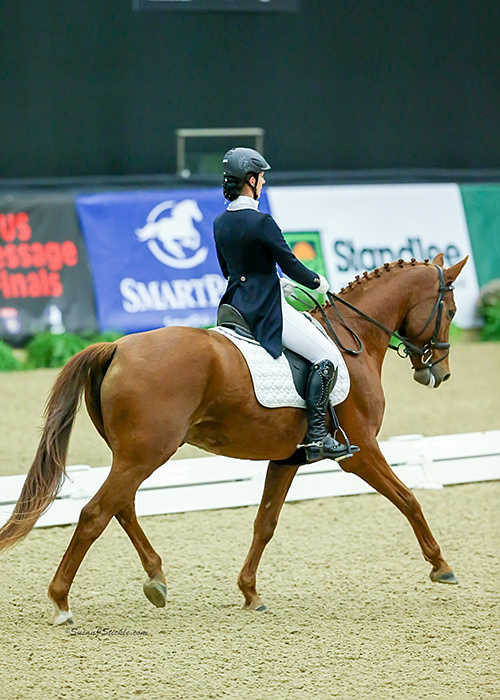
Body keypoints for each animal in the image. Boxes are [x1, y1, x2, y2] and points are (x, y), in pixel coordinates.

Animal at [0, 252, 468, 624]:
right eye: (450, 310)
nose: (440, 373)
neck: (354, 341)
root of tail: (117, 347)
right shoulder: (360, 451)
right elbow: (408, 498)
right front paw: (441, 566)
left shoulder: (288, 458)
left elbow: (265, 523)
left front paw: (250, 592)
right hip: (145, 453)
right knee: (96, 514)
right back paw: (62, 602)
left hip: (134, 454)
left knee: (122, 508)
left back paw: (156, 579)